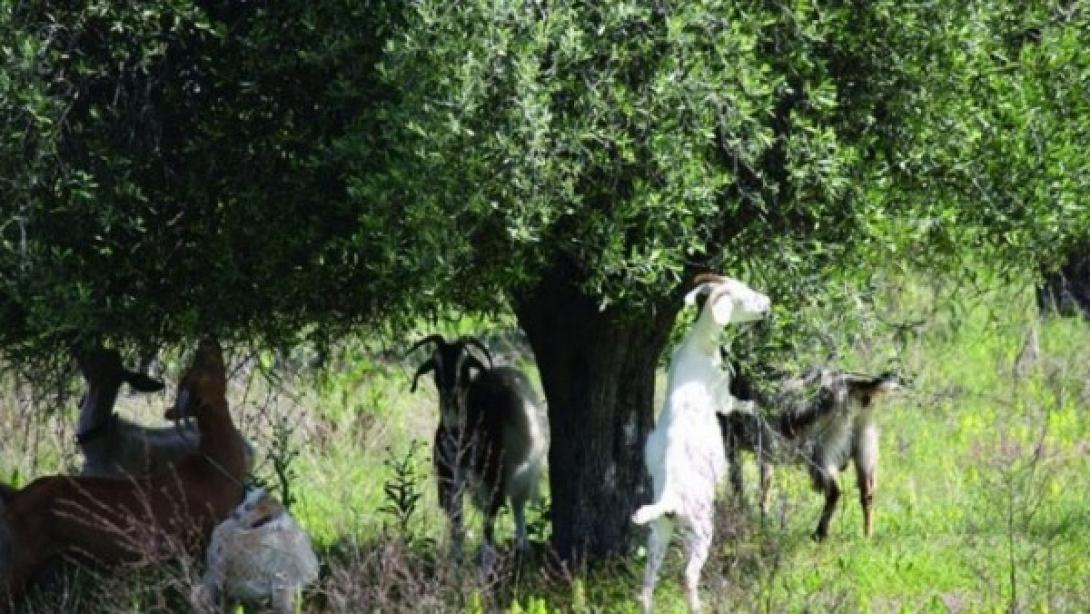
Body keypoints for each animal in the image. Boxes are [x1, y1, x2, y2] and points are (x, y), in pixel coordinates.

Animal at [407, 335, 549, 567]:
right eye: (435, 364)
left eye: (465, 365)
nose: (450, 394)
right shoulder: (448, 481)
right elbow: (456, 523)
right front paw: (455, 561)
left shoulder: (494, 479)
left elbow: (489, 522)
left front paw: (487, 563)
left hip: (524, 470)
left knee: (518, 503)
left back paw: (523, 546)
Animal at [723, 364, 902, 543]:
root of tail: (851, 385)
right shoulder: (765, 451)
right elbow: (764, 488)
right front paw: (762, 522)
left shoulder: (731, 440)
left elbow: (737, 482)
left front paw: (740, 512)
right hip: (865, 444)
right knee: (867, 492)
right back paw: (867, 536)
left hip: (822, 450)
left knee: (834, 491)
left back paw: (820, 533)